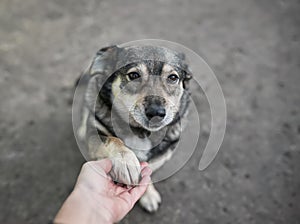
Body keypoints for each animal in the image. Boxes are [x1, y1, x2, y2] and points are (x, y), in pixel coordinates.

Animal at [77, 44, 192, 213]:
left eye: (173, 77)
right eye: (134, 75)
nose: (156, 113)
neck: (141, 131)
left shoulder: (160, 157)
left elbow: (148, 173)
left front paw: (148, 195)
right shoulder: (95, 134)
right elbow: (113, 140)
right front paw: (126, 160)